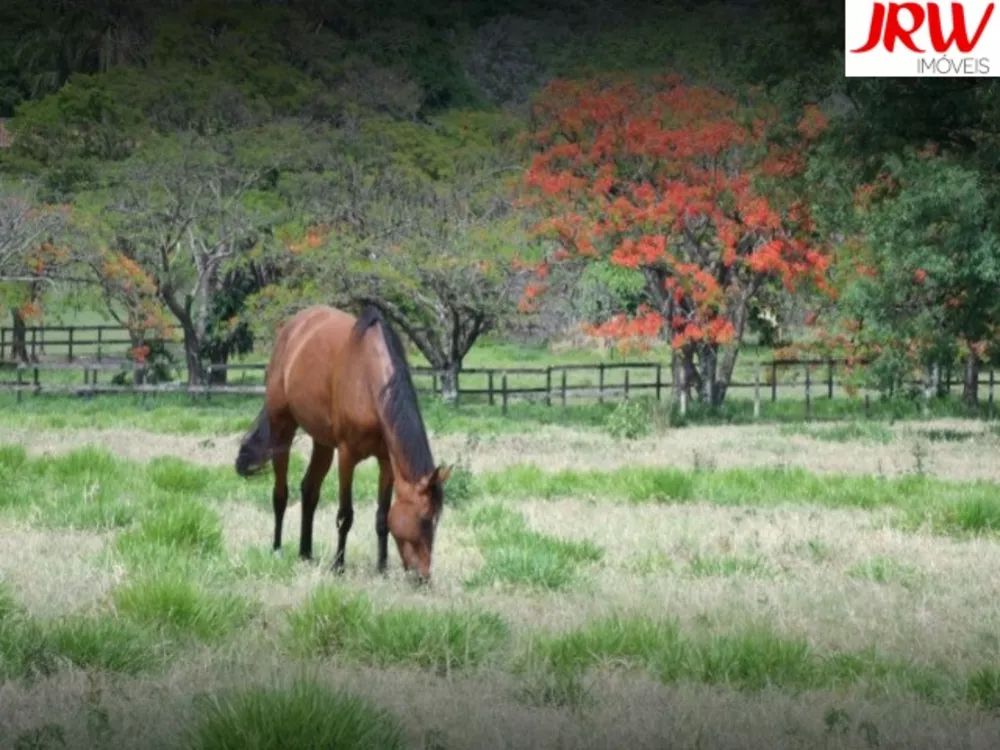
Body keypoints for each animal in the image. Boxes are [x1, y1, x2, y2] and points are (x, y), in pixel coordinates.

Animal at [232, 304, 452, 580]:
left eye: (437, 519)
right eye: (424, 519)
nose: (422, 576)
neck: (368, 381)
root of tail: (292, 328)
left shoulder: (386, 461)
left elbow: (382, 517)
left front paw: (381, 568)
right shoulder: (347, 455)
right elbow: (345, 515)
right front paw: (338, 566)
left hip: (323, 442)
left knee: (309, 490)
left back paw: (305, 553)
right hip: (282, 428)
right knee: (280, 493)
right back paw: (278, 550)